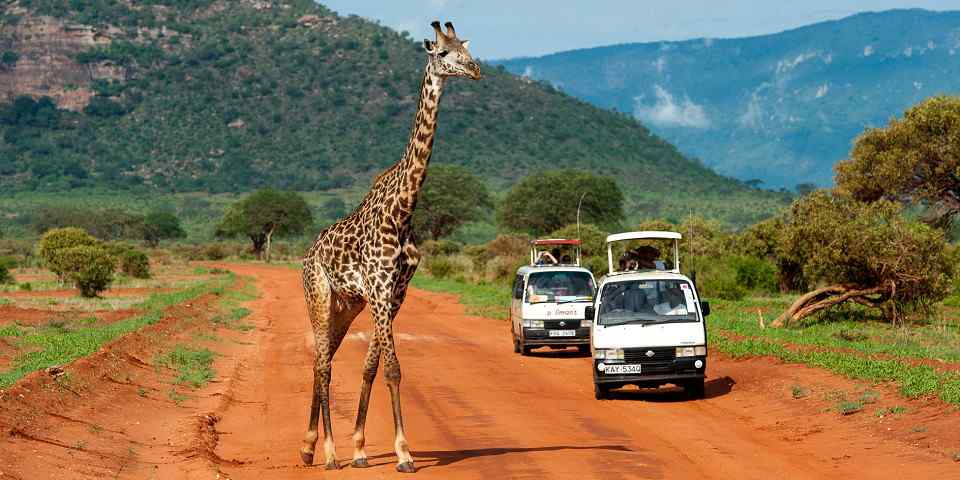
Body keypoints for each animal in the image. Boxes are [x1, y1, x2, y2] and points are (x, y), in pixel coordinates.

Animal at [298, 21, 480, 474]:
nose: (476, 70)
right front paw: (403, 454)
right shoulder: (380, 288)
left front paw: (362, 448)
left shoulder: (396, 291)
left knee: (322, 361)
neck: (404, 208)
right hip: (319, 295)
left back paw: (309, 447)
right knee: (324, 366)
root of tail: (306, 255)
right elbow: (394, 368)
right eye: (443, 54)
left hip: (346, 306)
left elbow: (371, 366)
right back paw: (328, 454)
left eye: (467, 49)